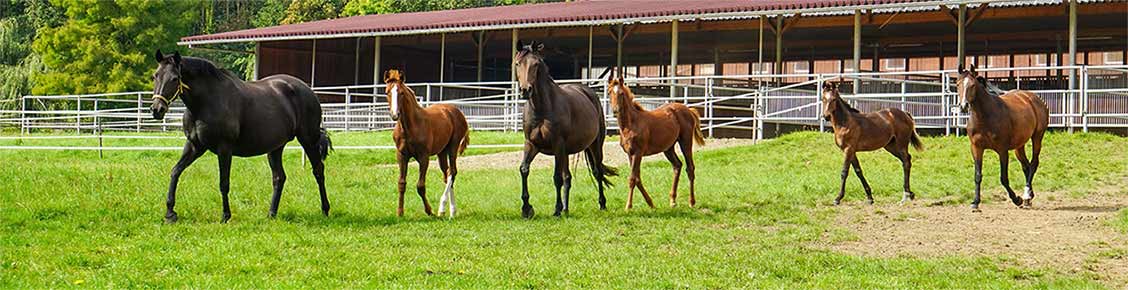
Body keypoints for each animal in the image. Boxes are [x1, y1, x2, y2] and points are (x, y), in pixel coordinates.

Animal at [148, 50, 329, 221]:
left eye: (174, 78)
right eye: (155, 76)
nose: (157, 109)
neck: (206, 102)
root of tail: (309, 91)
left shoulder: (224, 148)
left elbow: (224, 183)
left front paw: (225, 216)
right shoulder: (194, 146)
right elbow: (175, 171)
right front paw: (170, 213)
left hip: (308, 140)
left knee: (318, 170)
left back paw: (325, 209)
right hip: (276, 147)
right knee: (279, 177)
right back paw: (271, 214)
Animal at [385, 69, 469, 216]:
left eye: (401, 93)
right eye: (387, 92)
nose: (395, 115)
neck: (410, 126)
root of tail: (457, 112)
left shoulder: (424, 157)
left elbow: (420, 186)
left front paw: (429, 211)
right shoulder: (401, 155)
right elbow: (401, 183)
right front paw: (400, 212)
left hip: (453, 147)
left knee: (452, 172)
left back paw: (444, 209)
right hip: (442, 152)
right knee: (447, 174)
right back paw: (450, 210)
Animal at [516, 41, 622, 216]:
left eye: (536, 64)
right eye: (517, 63)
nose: (526, 90)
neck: (542, 109)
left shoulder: (557, 145)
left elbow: (556, 178)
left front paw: (556, 209)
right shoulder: (531, 144)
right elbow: (524, 169)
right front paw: (526, 208)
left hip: (594, 145)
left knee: (597, 172)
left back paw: (601, 204)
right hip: (565, 152)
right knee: (568, 177)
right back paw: (566, 209)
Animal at [604, 71, 699, 208]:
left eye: (621, 93)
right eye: (609, 92)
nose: (615, 110)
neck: (631, 124)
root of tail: (688, 110)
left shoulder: (638, 153)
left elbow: (632, 178)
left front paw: (628, 206)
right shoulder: (630, 154)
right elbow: (637, 178)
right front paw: (651, 204)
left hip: (685, 142)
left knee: (690, 168)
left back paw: (691, 202)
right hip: (668, 148)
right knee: (677, 166)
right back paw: (672, 200)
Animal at [956, 64, 1051, 211]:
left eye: (972, 85)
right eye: (957, 84)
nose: (963, 106)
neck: (984, 117)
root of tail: (1033, 97)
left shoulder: (1002, 150)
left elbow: (1003, 178)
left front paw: (1016, 199)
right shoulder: (976, 148)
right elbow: (978, 175)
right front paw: (975, 202)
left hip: (1037, 137)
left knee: (1034, 163)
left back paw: (1026, 195)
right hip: (1019, 146)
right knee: (1026, 166)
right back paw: (1029, 197)